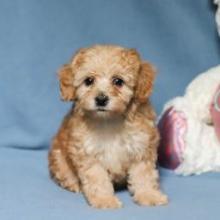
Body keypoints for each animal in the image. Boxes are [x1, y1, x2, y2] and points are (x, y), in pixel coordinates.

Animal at [48, 44, 168, 208]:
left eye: (118, 81)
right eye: (89, 80)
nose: (101, 99)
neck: (109, 119)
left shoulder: (142, 148)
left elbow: (144, 175)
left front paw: (149, 195)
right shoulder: (88, 153)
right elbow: (97, 178)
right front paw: (104, 200)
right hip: (58, 156)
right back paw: (73, 184)